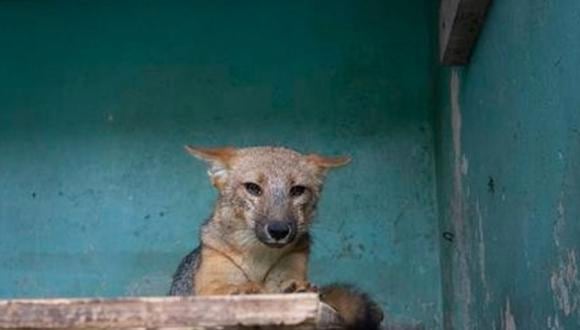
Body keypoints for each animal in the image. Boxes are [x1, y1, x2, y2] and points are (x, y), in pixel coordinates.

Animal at [170, 146, 382, 328]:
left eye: (297, 190)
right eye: (253, 188)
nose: (278, 230)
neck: (258, 259)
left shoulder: (287, 276)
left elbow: (285, 287)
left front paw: (297, 289)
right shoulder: (208, 287)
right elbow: (230, 287)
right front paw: (247, 289)